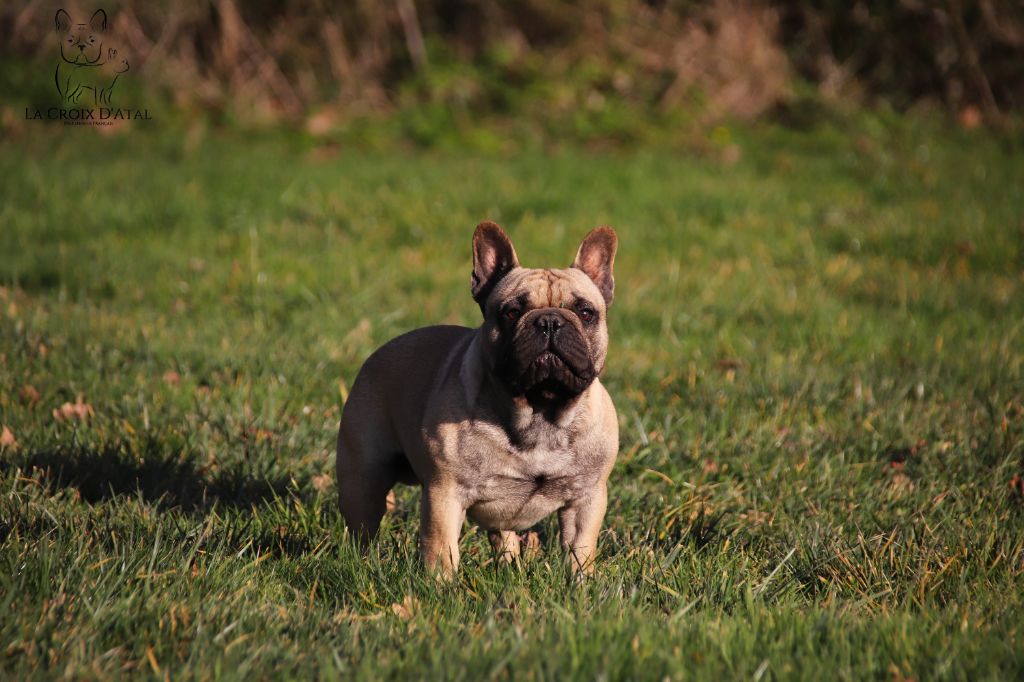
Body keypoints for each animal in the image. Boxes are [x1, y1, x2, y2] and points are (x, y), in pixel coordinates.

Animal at [339, 222, 618, 573]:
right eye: (511, 312)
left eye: (585, 312)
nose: (550, 321)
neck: (540, 411)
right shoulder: (445, 495)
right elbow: (441, 550)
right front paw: (440, 584)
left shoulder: (586, 498)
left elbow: (580, 551)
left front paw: (580, 581)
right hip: (362, 480)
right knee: (362, 527)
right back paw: (359, 564)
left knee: (504, 536)